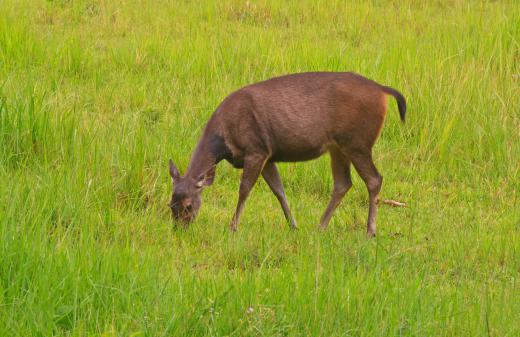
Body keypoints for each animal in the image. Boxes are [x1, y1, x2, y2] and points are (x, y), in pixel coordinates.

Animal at [168, 72, 406, 235]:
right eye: (170, 205)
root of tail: (383, 90)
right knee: (343, 183)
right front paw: (293, 225)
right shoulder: (268, 155)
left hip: (357, 141)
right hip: (338, 146)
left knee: (374, 179)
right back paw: (320, 227)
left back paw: (370, 231)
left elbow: (244, 190)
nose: (180, 229)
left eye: (189, 205)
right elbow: (279, 190)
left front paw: (233, 227)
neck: (224, 140)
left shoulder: (255, 150)